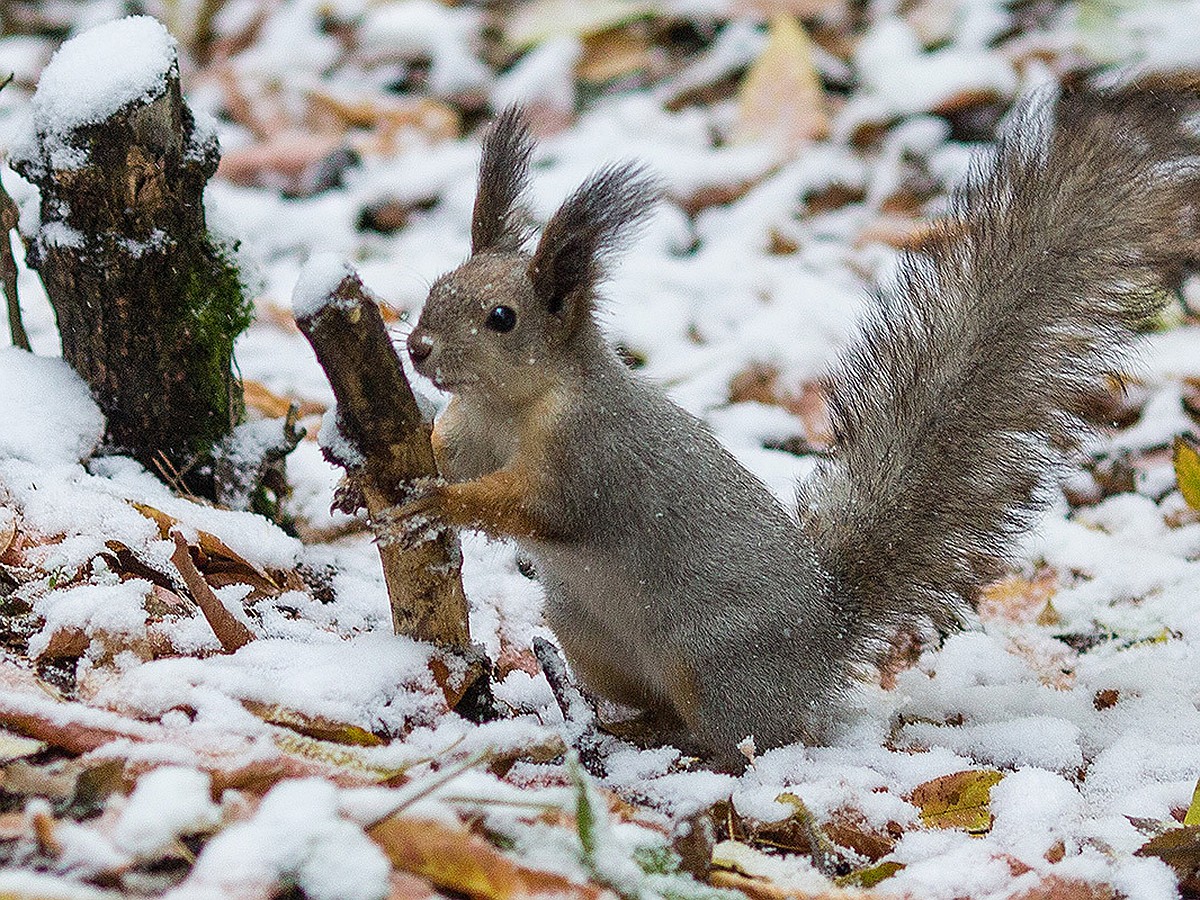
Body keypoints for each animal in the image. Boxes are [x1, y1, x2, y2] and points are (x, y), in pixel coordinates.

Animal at [398, 79, 1200, 768]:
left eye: (502, 318)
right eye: (436, 285)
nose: (418, 349)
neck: (510, 406)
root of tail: (824, 638)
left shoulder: (588, 456)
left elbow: (536, 506)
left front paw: (441, 503)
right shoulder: (469, 431)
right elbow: (446, 452)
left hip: (713, 666)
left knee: (750, 740)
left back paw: (687, 746)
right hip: (589, 637)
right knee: (652, 700)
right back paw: (630, 725)